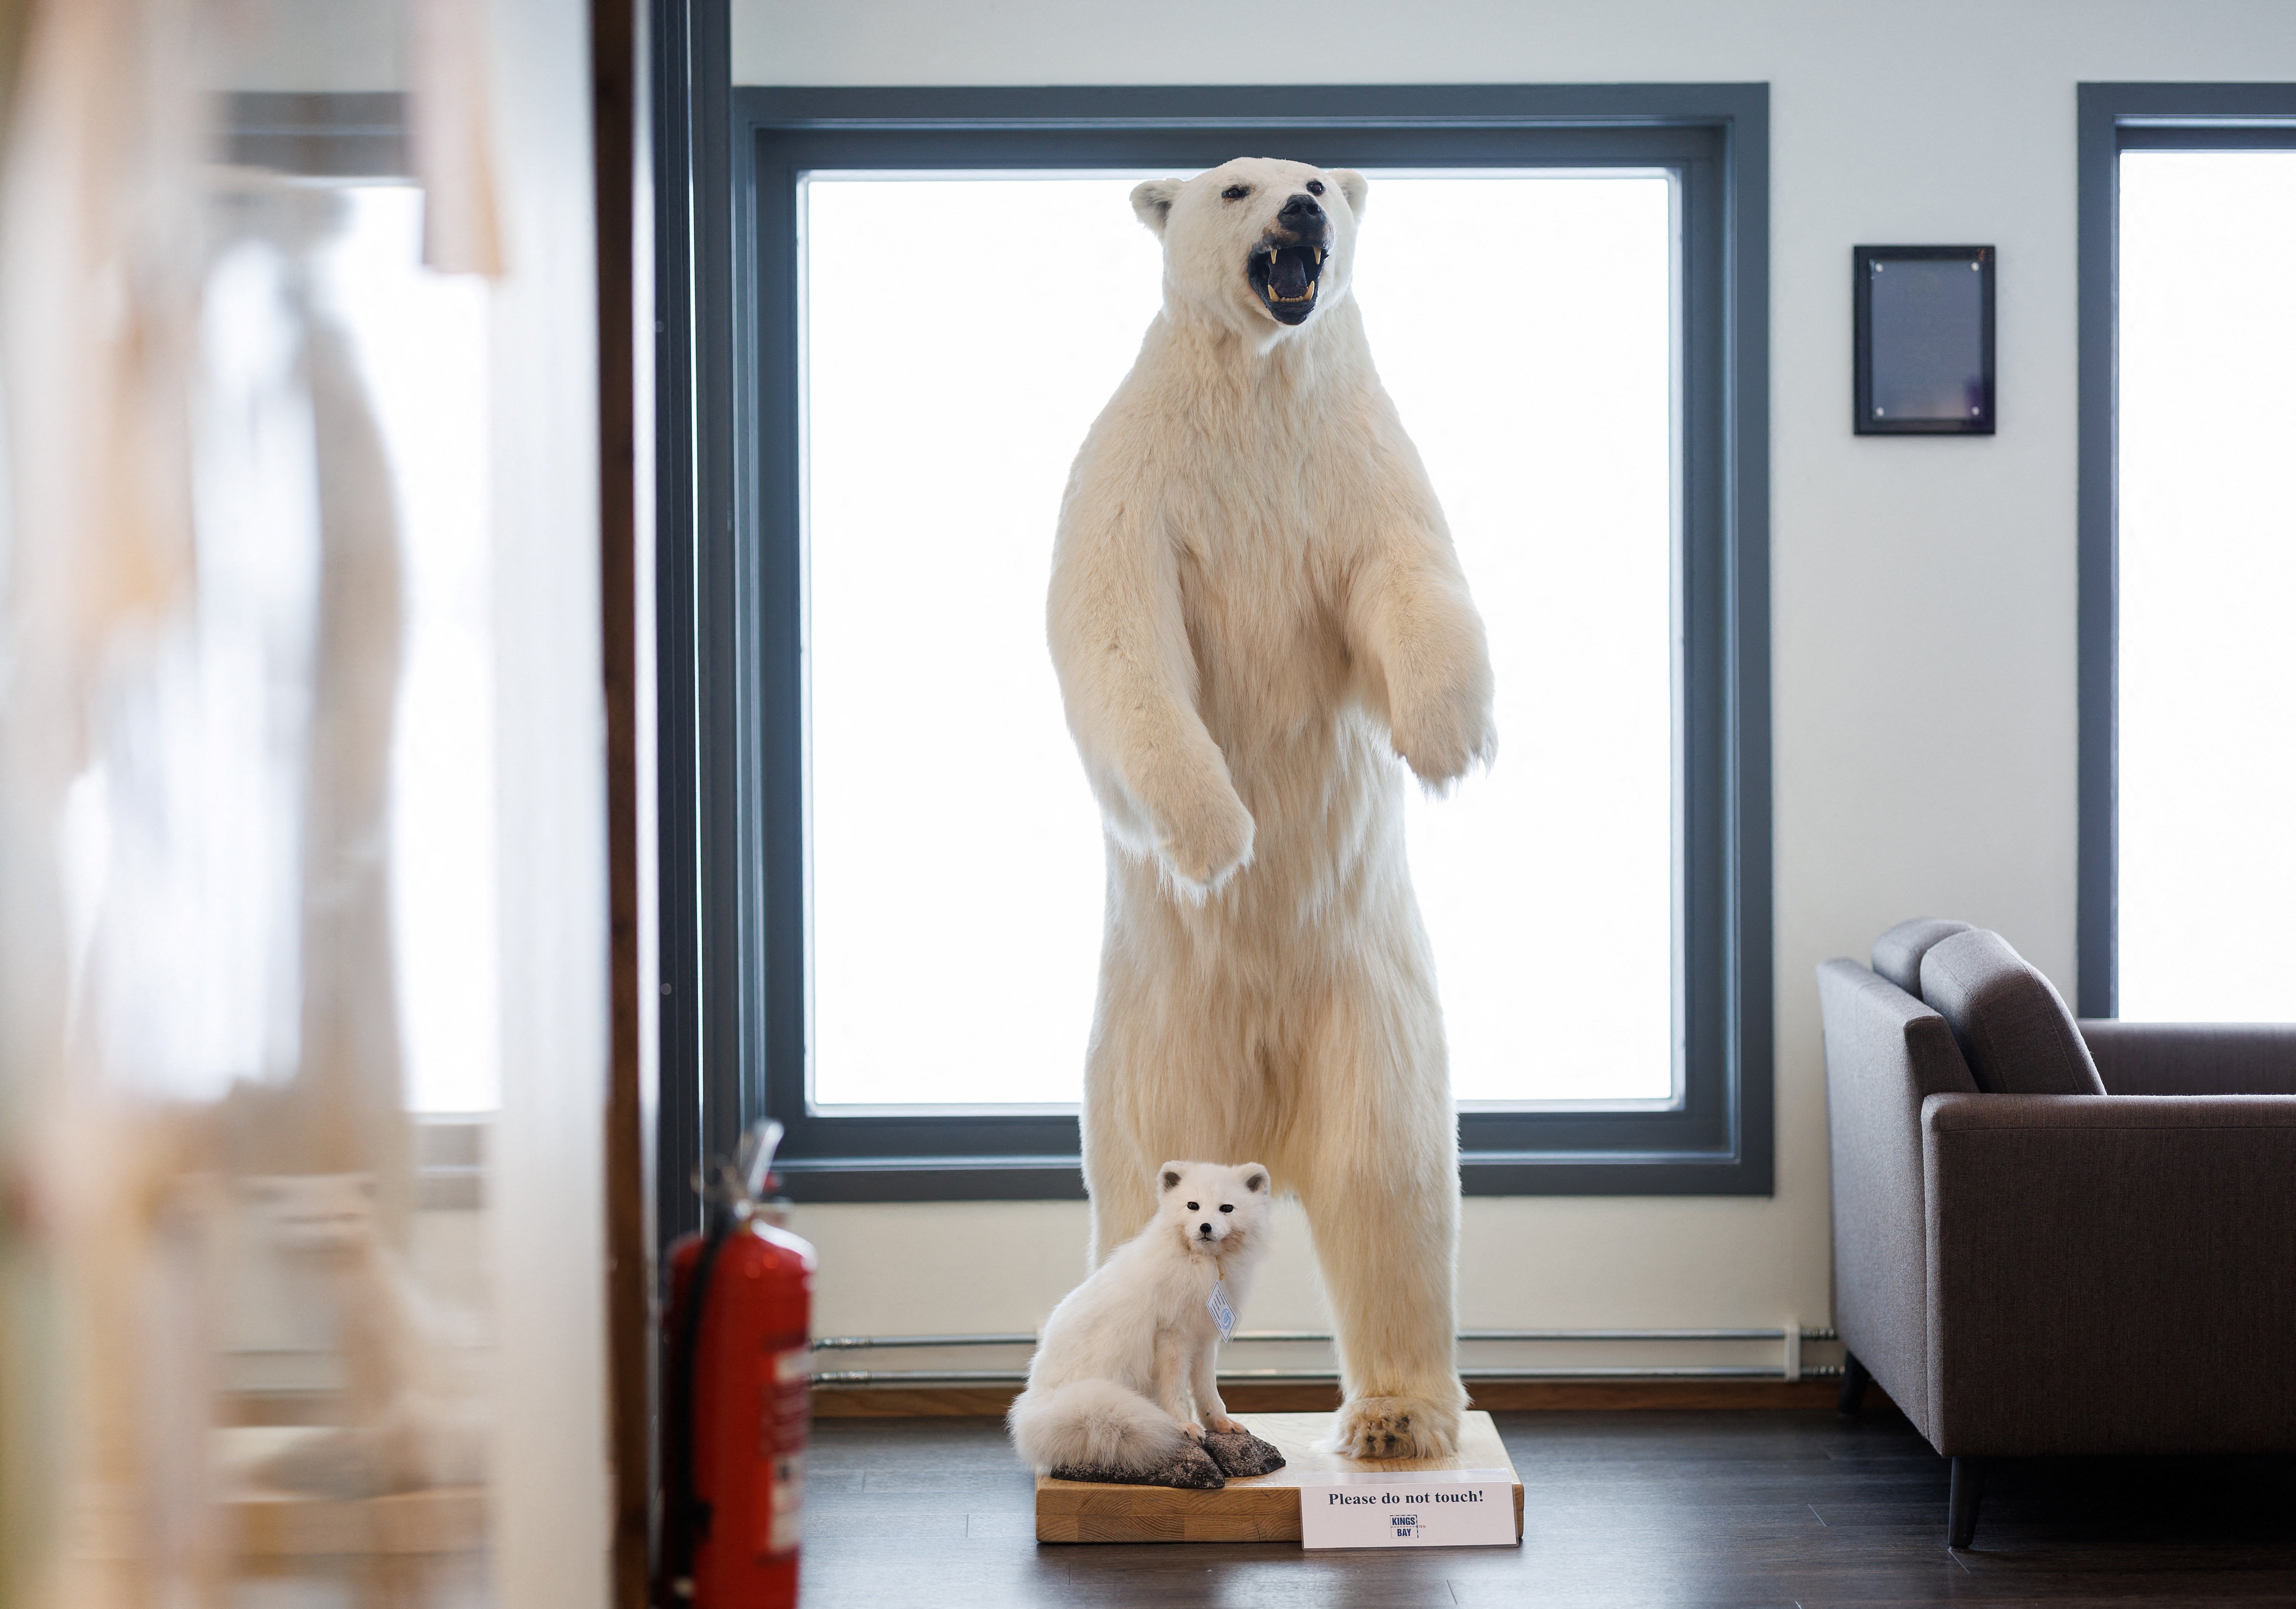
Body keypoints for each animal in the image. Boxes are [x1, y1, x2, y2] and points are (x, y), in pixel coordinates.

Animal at [1010, 1161, 1285, 1487]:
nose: (1205, 1227)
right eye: (1192, 1206)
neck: (1200, 1265)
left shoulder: (1205, 1338)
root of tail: (1038, 1406)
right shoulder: (1172, 1336)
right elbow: (1175, 1389)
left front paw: (1220, 1423)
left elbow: (1208, 1388)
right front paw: (1183, 1425)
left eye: (1226, 1208)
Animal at [1051, 154, 1497, 1460]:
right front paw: (1223, 837)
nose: (1301, 208)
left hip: (1373, 1009)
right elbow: (1118, 636)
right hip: (1156, 1038)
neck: (1254, 390)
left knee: (1388, 1183)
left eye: (1315, 184)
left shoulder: (1350, 468)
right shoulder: (1144, 475)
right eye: (1236, 187)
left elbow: (1407, 575)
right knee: (1140, 1181)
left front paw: (1447, 739)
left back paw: (1397, 1418)